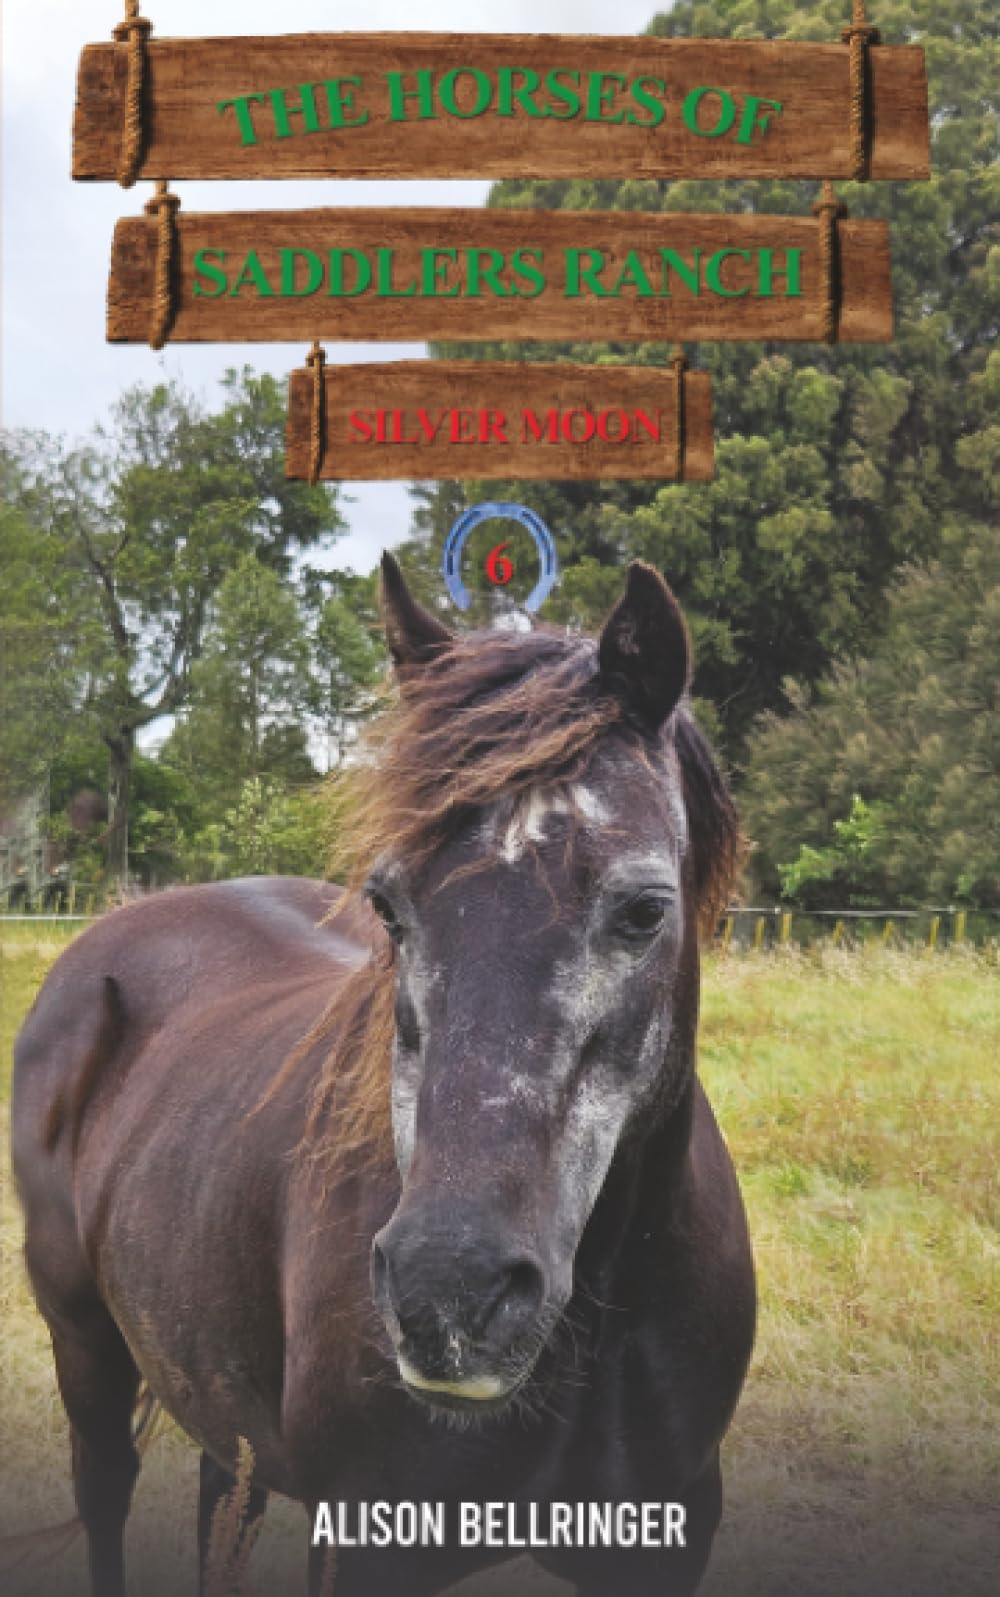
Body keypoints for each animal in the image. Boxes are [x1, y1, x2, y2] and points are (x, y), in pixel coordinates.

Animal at [11, 556, 755, 1597]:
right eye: (388, 905)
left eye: (645, 909)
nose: (450, 1295)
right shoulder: (367, 1543)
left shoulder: (666, 1543)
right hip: (83, 1341)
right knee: (105, 1494)